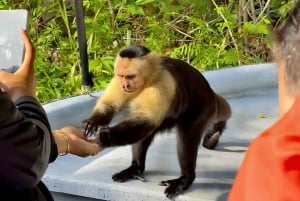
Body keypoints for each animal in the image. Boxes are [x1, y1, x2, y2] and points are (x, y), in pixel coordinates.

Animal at [82, 45, 232, 199]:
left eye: (130, 77)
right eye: (122, 76)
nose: (125, 85)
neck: (148, 78)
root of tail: (210, 93)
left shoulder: (162, 82)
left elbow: (147, 119)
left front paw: (106, 136)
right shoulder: (118, 80)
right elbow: (110, 105)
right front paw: (93, 123)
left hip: (202, 108)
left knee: (186, 138)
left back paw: (186, 178)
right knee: (144, 134)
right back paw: (136, 168)